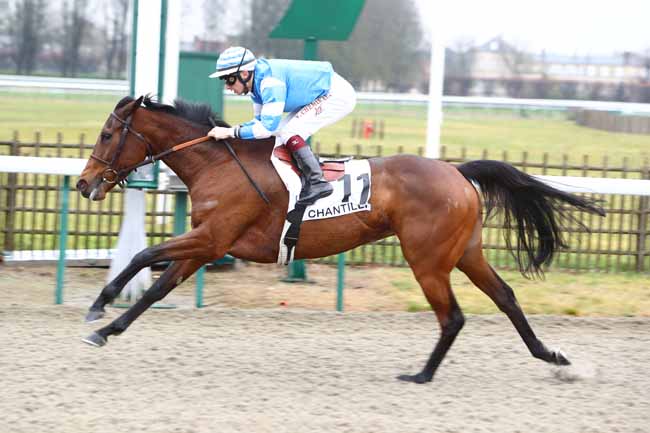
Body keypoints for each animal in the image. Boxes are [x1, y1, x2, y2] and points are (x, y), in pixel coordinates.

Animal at [76, 95, 604, 384]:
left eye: (107, 135)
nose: (84, 184)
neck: (218, 163)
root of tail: (456, 171)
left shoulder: (211, 238)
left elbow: (145, 254)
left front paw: (99, 306)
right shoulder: (208, 244)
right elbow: (158, 286)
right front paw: (107, 329)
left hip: (428, 260)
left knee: (452, 316)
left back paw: (422, 374)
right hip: (466, 253)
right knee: (506, 297)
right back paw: (552, 356)